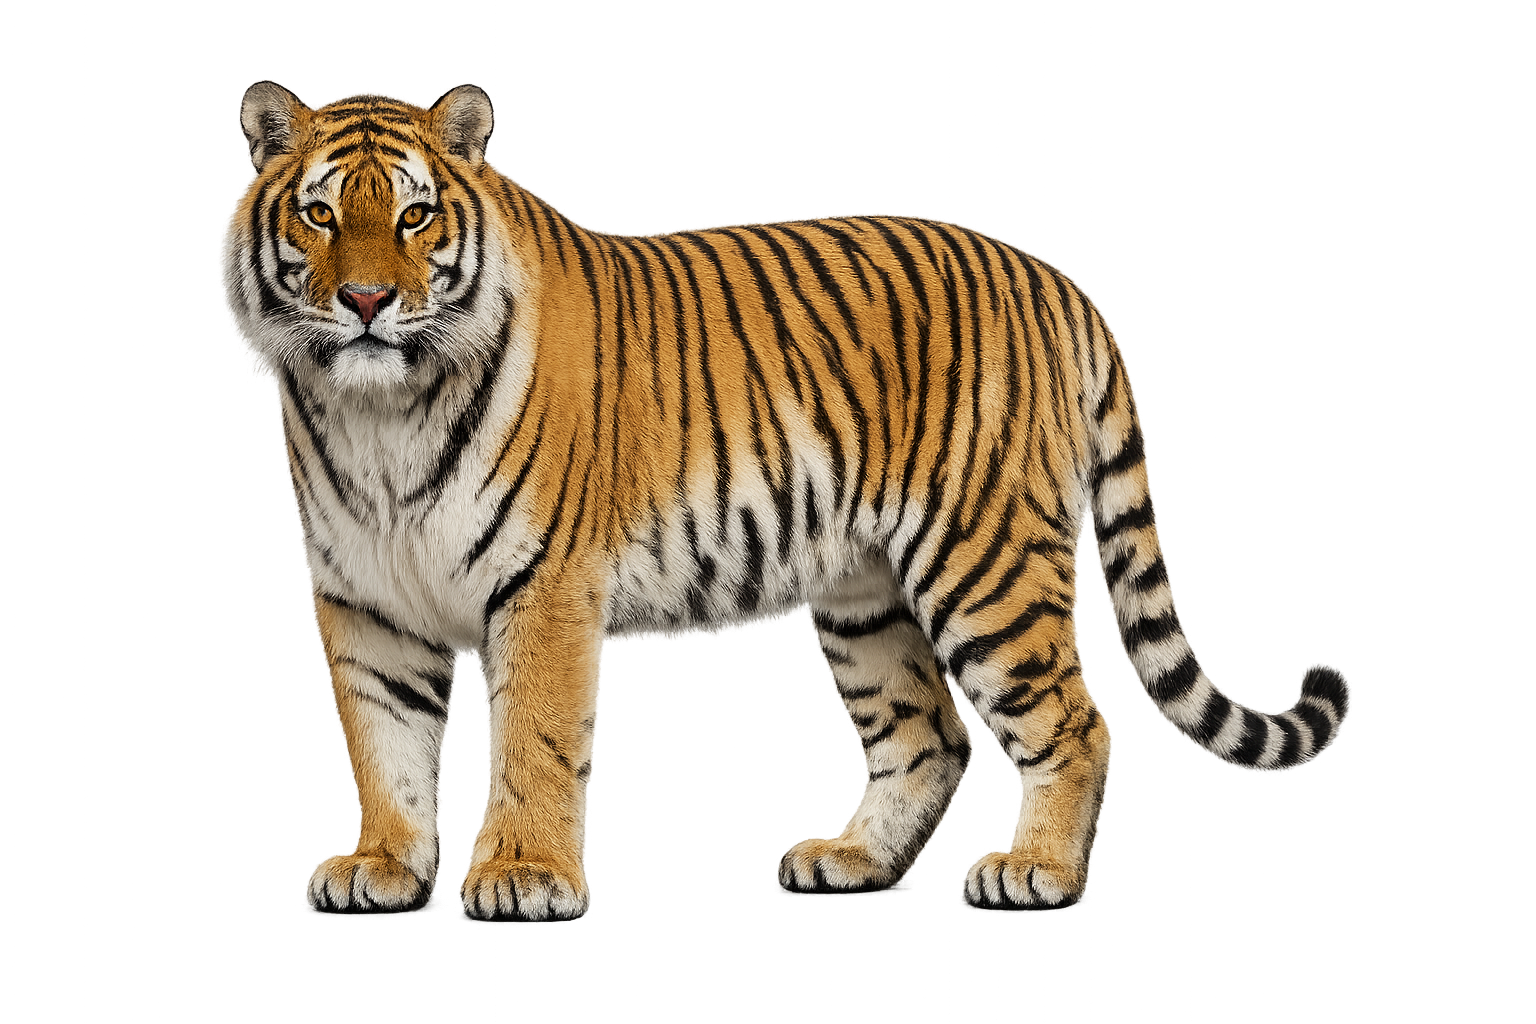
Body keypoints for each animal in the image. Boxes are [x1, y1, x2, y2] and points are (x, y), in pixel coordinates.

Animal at [226, 81, 1347, 921]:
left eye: (415, 215)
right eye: (321, 213)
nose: (367, 302)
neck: (378, 413)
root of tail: (1046, 274)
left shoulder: (543, 585)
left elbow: (529, 740)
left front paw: (523, 877)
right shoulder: (363, 597)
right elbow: (383, 743)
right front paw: (382, 864)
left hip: (985, 559)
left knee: (1072, 718)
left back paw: (1038, 871)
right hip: (865, 592)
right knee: (928, 733)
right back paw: (853, 861)